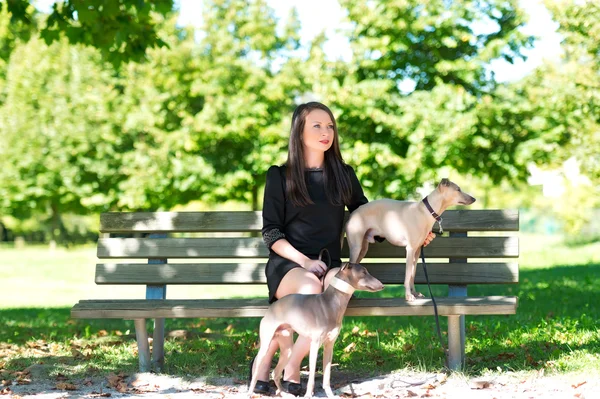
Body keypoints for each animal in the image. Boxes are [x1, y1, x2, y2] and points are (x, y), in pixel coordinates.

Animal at [248, 262, 384, 396]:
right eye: (364, 272)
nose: (382, 286)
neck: (330, 304)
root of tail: (271, 308)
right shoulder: (314, 345)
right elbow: (312, 377)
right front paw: (308, 395)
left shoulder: (329, 345)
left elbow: (327, 376)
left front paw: (330, 395)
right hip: (267, 343)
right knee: (258, 370)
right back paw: (251, 391)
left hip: (287, 348)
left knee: (275, 372)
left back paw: (282, 393)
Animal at [344, 180, 476, 302]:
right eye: (458, 189)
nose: (474, 199)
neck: (424, 211)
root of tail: (353, 213)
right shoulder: (410, 249)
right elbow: (408, 275)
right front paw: (408, 296)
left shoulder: (417, 251)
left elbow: (412, 274)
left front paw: (415, 293)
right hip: (356, 247)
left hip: (363, 248)